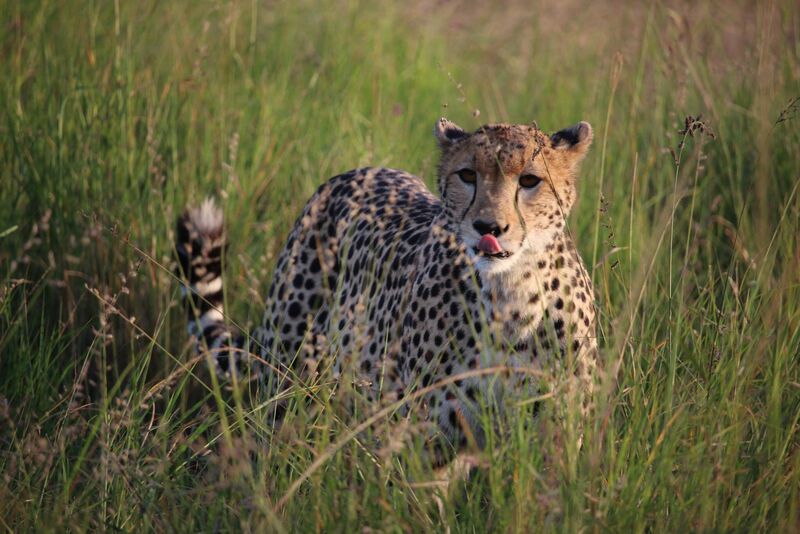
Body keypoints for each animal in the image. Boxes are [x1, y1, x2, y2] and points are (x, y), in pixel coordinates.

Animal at [176, 118, 597, 452]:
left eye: (530, 180)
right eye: (467, 175)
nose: (488, 227)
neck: (510, 295)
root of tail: (359, 171)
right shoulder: (430, 436)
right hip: (288, 372)